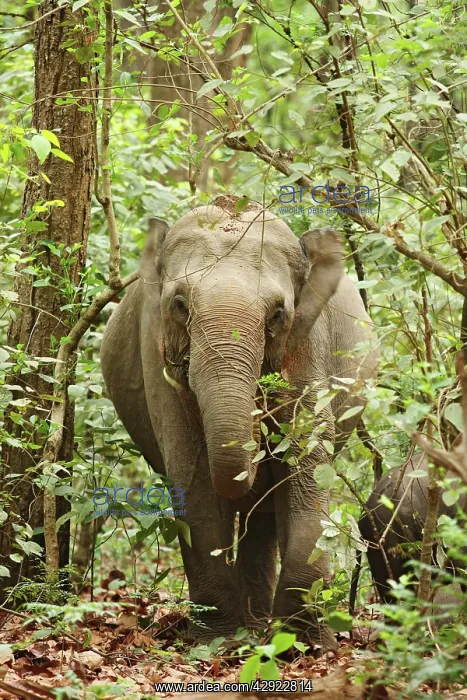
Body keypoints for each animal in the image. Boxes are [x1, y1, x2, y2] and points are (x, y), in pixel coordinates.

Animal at [100, 197, 378, 650]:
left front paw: (299, 641)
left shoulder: (309, 347)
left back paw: (260, 620)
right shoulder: (155, 354)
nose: (255, 429)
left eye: (278, 314)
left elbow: (304, 469)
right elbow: (192, 476)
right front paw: (217, 639)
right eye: (179, 304)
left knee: (262, 514)